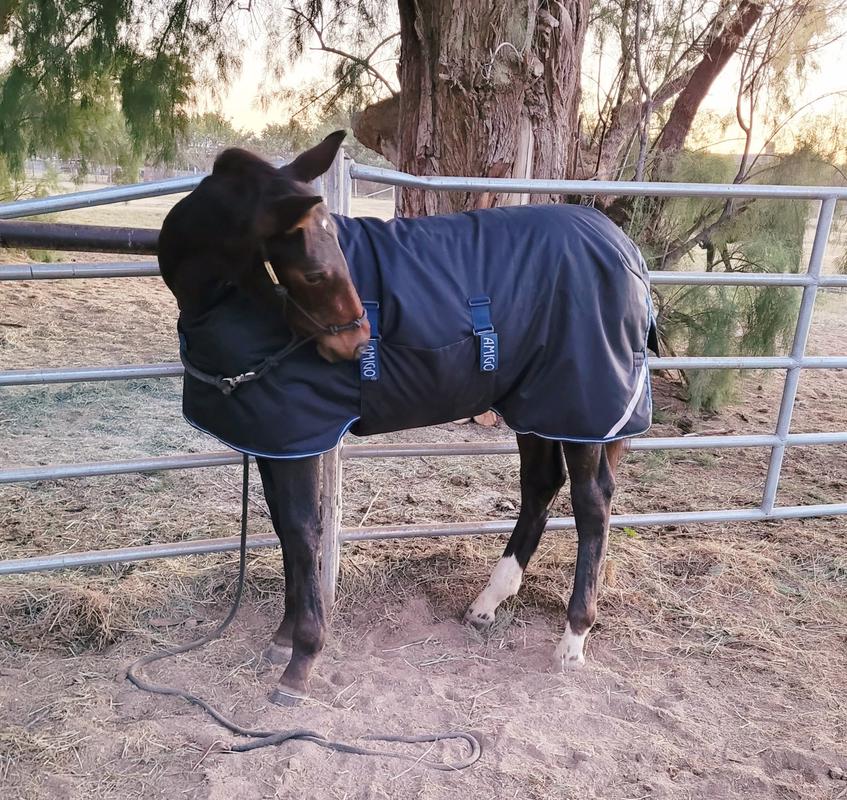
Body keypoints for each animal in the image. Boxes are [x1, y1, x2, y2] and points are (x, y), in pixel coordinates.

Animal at [157, 131, 656, 705]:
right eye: (314, 271)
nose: (357, 342)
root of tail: (625, 249)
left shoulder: (299, 438)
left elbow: (304, 534)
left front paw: (301, 661)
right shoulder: (276, 440)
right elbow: (286, 528)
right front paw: (283, 639)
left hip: (582, 408)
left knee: (592, 506)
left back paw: (573, 640)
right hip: (539, 406)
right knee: (540, 487)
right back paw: (487, 604)